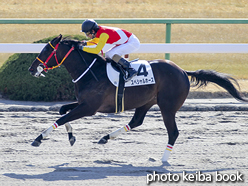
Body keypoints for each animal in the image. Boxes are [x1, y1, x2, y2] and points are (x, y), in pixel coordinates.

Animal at [28, 34, 246, 162]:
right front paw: (71, 137)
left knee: (173, 132)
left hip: (167, 107)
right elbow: (62, 111)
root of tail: (183, 71)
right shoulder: (84, 104)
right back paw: (105, 137)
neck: (90, 72)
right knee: (136, 121)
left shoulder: (89, 108)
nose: (31, 69)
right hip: (146, 102)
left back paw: (163, 159)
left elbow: (61, 117)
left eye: (46, 50)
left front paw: (38, 138)